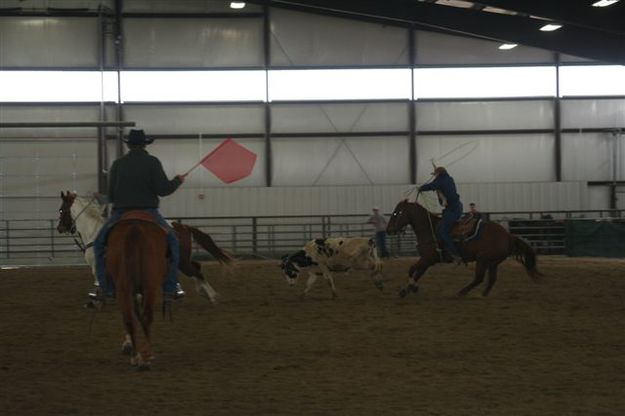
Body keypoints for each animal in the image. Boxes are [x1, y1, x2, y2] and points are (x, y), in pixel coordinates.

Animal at [55, 191, 232, 302]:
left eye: (61, 210)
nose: (59, 228)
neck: (94, 232)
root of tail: (182, 226)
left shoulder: (97, 265)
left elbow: (101, 281)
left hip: (181, 260)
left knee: (196, 270)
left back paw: (212, 296)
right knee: (196, 267)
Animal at [105, 213, 168, 368]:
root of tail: (134, 229)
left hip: (124, 287)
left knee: (129, 318)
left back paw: (136, 356)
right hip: (150, 286)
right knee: (146, 316)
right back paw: (145, 357)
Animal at [386, 200, 540, 298]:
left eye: (396, 213)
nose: (388, 230)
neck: (429, 229)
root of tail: (507, 235)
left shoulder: (427, 259)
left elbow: (411, 270)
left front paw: (412, 287)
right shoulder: (427, 260)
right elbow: (417, 274)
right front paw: (406, 290)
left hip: (483, 260)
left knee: (479, 278)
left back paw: (462, 292)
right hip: (492, 262)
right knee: (491, 279)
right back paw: (483, 294)